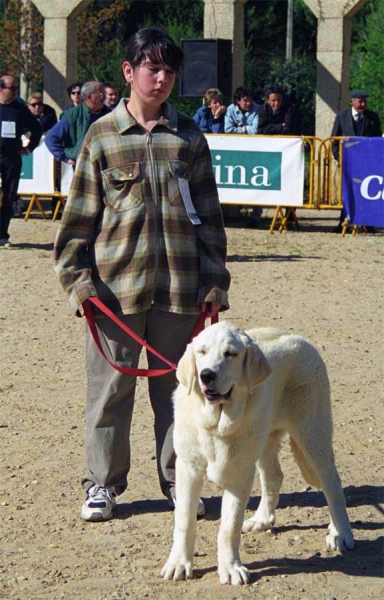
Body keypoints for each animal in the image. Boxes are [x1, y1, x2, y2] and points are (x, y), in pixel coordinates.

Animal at [161, 322, 354, 584]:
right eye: (201, 352)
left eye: (230, 354)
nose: (206, 375)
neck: (217, 424)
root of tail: (300, 339)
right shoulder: (188, 468)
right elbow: (184, 520)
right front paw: (179, 563)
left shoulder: (240, 472)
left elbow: (229, 527)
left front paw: (230, 568)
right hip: (264, 440)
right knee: (274, 476)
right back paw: (262, 520)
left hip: (313, 435)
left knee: (331, 482)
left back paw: (341, 532)